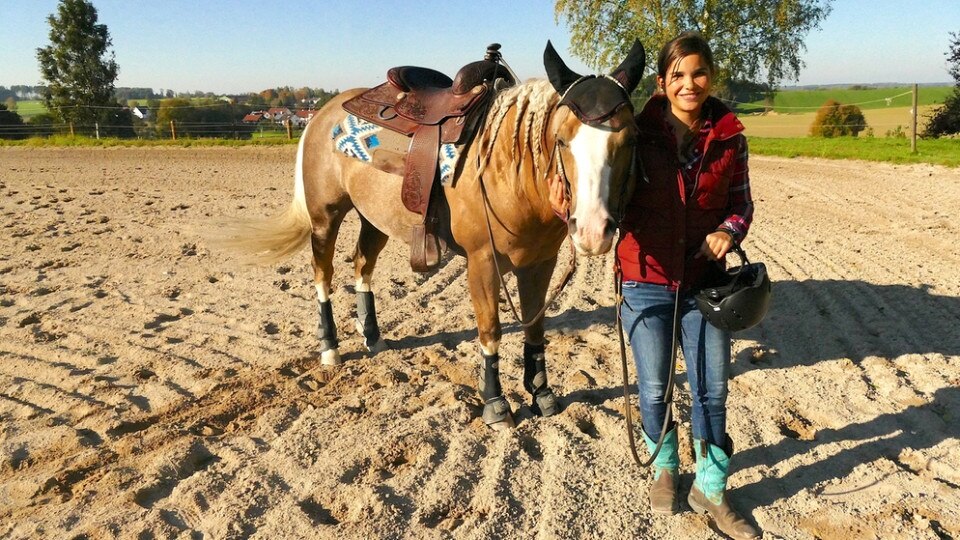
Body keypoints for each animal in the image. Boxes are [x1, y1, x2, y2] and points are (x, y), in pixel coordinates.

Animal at [218, 41, 644, 430]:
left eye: (630, 141)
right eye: (561, 139)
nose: (593, 230)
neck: (507, 169)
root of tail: (321, 115)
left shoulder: (540, 263)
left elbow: (534, 328)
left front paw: (541, 394)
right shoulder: (482, 263)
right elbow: (490, 332)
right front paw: (496, 405)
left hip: (374, 219)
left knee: (362, 266)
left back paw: (372, 337)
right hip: (325, 217)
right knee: (323, 275)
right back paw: (330, 348)